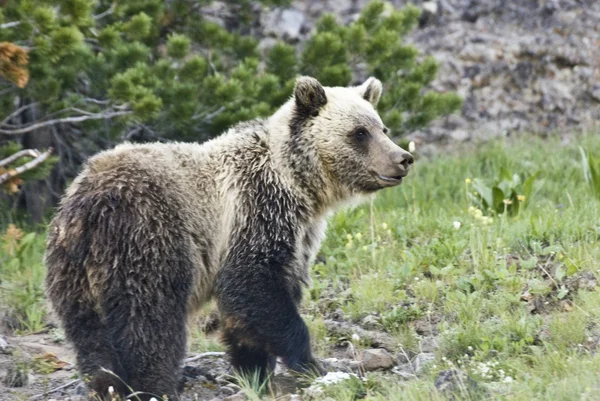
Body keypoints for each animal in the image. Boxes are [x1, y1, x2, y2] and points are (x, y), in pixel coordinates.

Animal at [45, 76, 412, 400]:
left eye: (382, 128)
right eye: (359, 132)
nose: (403, 158)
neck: (299, 185)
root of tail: (89, 205)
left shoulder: (295, 234)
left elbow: (247, 314)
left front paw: (253, 371)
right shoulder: (257, 212)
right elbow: (254, 286)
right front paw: (308, 361)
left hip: (72, 272)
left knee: (91, 338)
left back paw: (106, 386)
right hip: (147, 240)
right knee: (151, 323)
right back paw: (155, 387)